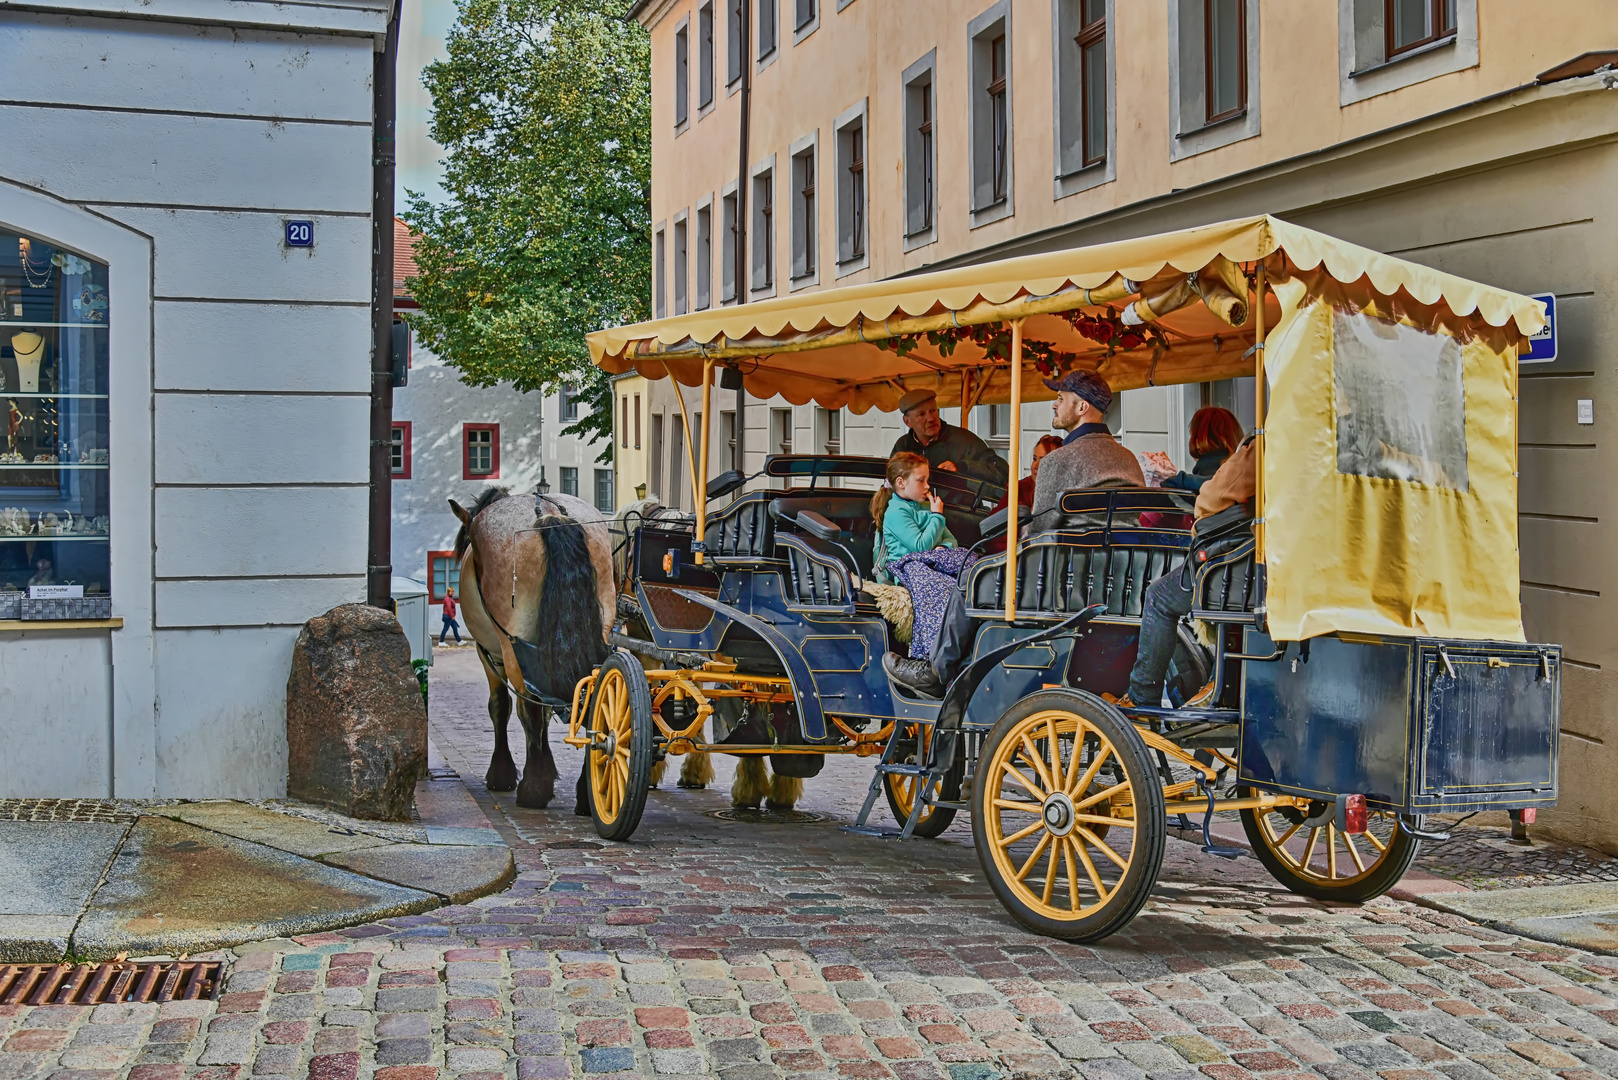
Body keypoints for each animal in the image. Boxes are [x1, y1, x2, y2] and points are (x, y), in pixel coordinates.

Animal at [449, 488, 611, 809]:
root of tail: (549, 515)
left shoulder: (490, 654)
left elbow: (501, 706)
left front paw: (502, 773)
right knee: (593, 698)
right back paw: (586, 793)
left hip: (512, 646)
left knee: (529, 708)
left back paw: (534, 788)